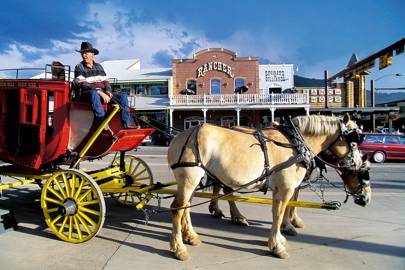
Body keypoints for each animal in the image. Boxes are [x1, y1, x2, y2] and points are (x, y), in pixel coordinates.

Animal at [166, 114, 370, 260]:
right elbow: (279, 214)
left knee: (187, 206)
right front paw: (276, 245)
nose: (365, 198)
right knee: (178, 208)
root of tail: (179, 136)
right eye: (353, 142)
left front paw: (280, 237)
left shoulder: (282, 188)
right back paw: (179, 248)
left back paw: (192, 235)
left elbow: (278, 212)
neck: (295, 143)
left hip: (194, 179)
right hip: (189, 178)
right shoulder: (286, 187)